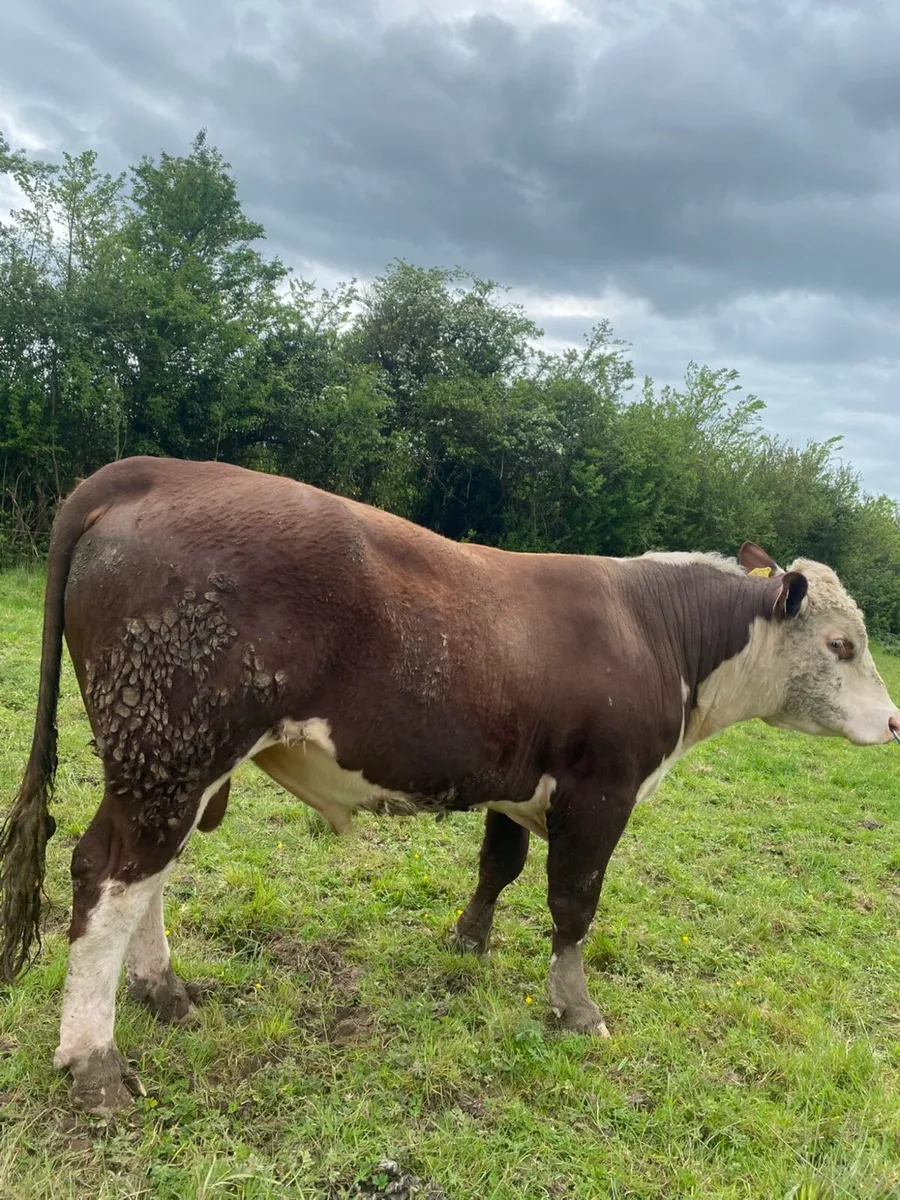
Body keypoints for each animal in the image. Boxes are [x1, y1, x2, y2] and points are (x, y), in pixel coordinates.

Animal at [1, 456, 897, 1116]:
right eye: (842, 644)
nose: (893, 722)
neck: (657, 630)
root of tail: (155, 471)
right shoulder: (601, 790)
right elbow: (574, 903)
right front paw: (577, 1009)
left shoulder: (516, 779)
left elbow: (498, 865)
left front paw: (468, 940)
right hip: (170, 750)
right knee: (107, 878)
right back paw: (94, 1062)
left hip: (176, 766)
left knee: (147, 880)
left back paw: (165, 992)